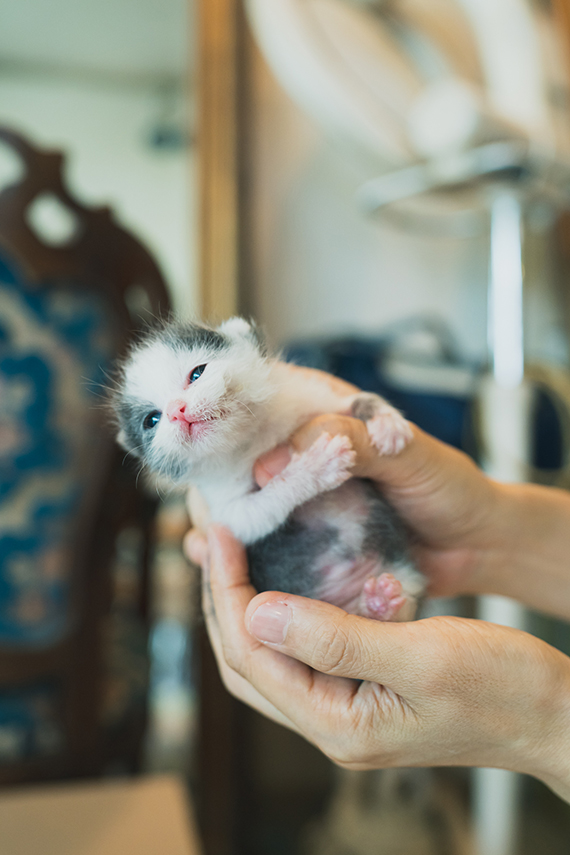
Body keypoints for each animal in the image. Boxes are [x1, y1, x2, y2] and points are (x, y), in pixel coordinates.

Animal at [112, 318, 422, 620]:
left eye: (197, 374)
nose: (176, 410)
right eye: (152, 420)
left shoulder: (315, 402)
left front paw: (386, 421)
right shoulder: (225, 509)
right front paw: (315, 469)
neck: (251, 438)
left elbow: (355, 401)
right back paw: (376, 604)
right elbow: (257, 512)